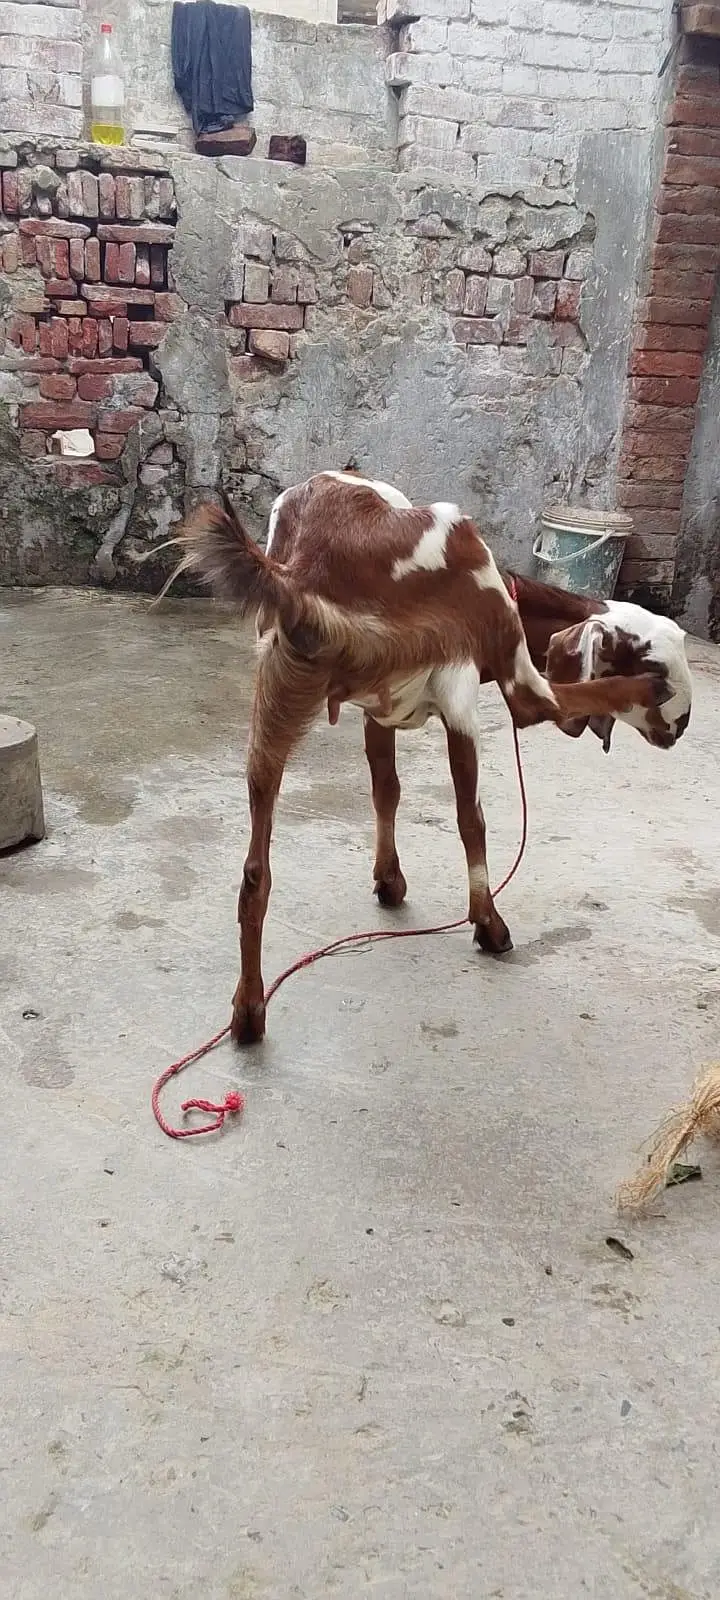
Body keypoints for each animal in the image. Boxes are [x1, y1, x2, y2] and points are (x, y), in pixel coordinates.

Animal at [172, 470, 678, 1045]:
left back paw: (248, 1009)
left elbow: (386, 789)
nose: (674, 728)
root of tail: (298, 573)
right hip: (476, 599)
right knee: (531, 716)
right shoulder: (465, 694)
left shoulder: (378, 709)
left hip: (276, 697)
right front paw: (486, 923)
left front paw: (388, 880)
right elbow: (470, 816)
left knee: (256, 871)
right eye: (643, 647)